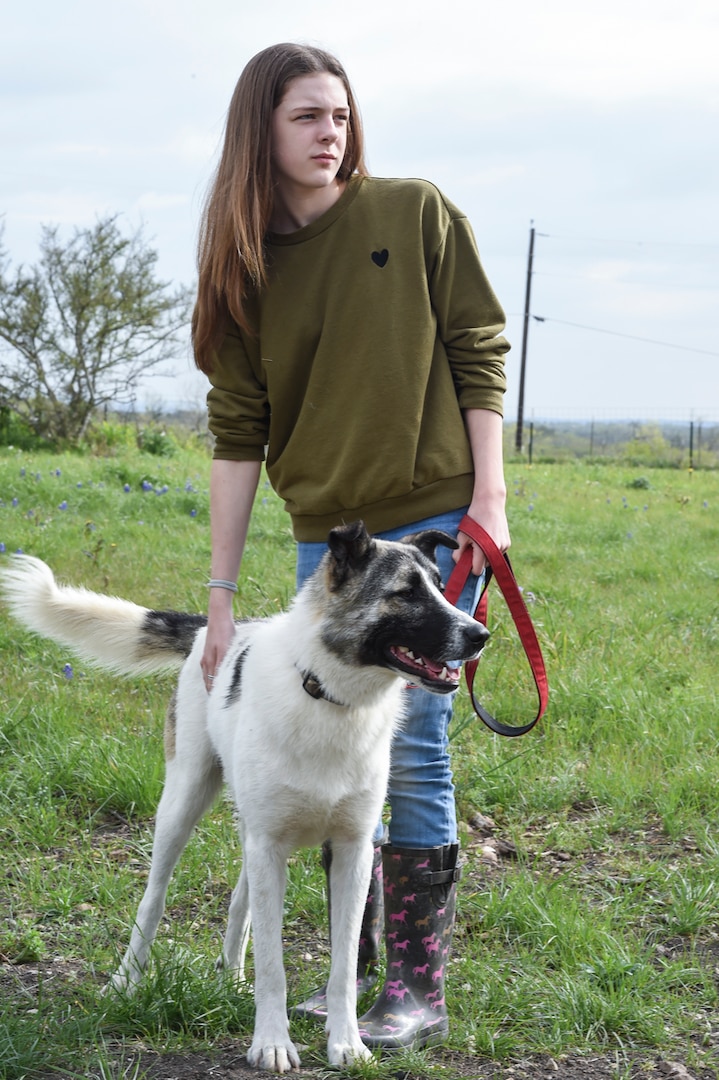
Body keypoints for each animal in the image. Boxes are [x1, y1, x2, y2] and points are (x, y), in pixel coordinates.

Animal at [0, 520, 487, 1071]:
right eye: (404, 593)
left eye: (441, 586)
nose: (480, 635)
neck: (329, 697)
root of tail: (214, 633)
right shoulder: (271, 845)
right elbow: (272, 964)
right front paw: (272, 1042)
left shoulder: (352, 850)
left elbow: (342, 966)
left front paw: (346, 1043)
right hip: (183, 804)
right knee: (153, 899)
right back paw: (128, 980)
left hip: (255, 835)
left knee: (239, 902)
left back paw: (231, 978)